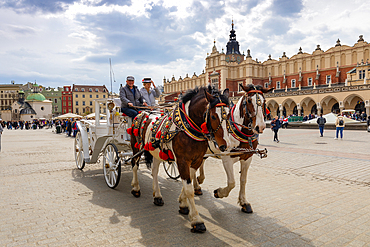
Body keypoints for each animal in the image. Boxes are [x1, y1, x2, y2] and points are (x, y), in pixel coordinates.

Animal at [129, 86, 230, 233]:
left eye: (229, 114)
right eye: (213, 116)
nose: (225, 145)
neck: (187, 129)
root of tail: (143, 112)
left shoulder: (196, 160)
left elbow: (189, 182)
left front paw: (183, 203)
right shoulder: (182, 161)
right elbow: (189, 190)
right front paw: (196, 220)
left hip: (157, 152)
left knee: (154, 172)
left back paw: (157, 196)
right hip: (136, 147)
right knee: (134, 165)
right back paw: (136, 188)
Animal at [192, 84, 274, 213]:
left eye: (264, 101)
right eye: (249, 100)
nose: (260, 127)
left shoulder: (247, 157)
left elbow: (243, 180)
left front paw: (244, 202)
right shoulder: (227, 158)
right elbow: (232, 182)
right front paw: (219, 193)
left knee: (200, 163)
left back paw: (199, 181)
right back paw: (196, 185)